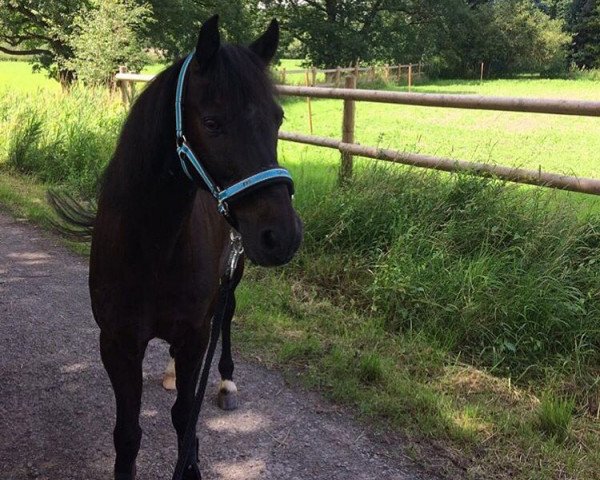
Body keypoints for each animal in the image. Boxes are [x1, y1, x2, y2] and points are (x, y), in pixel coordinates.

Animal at [50, 15, 300, 480]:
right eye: (213, 122)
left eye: (277, 119)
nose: (283, 235)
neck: (154, 246)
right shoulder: (118, 344)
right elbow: (128, 435)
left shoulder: (194, 335)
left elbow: (186, 419)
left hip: (233, 271)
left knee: (227, 315)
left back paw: (226, 382)